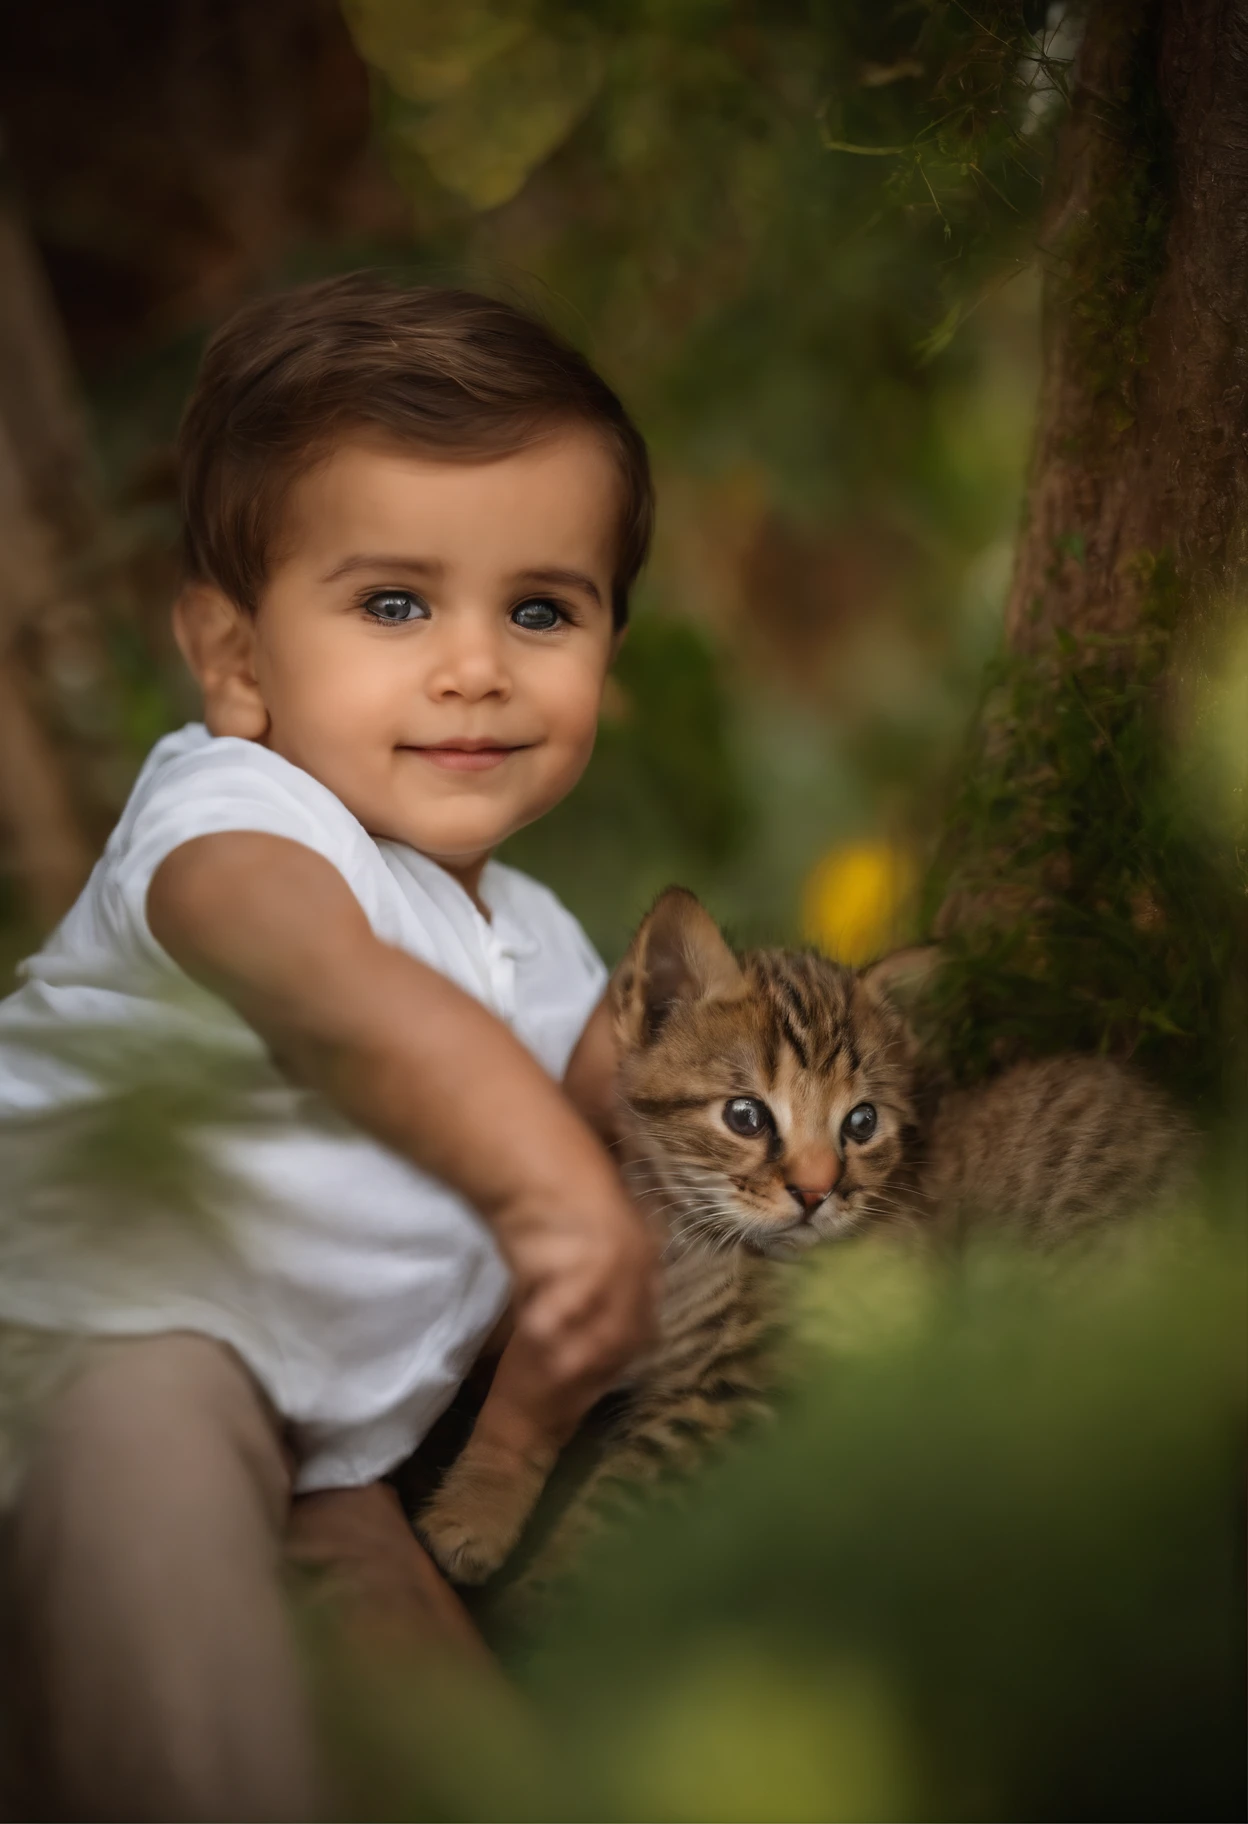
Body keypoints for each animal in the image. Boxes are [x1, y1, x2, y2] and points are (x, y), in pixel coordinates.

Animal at [416, 890, 1189, 1590]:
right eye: (746, 1116)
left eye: (862, 1123)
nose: (816, 1194)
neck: (690, 1242)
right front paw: (478, 1505)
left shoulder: (734, 1392)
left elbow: (617, 1505)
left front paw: (551, 1607)